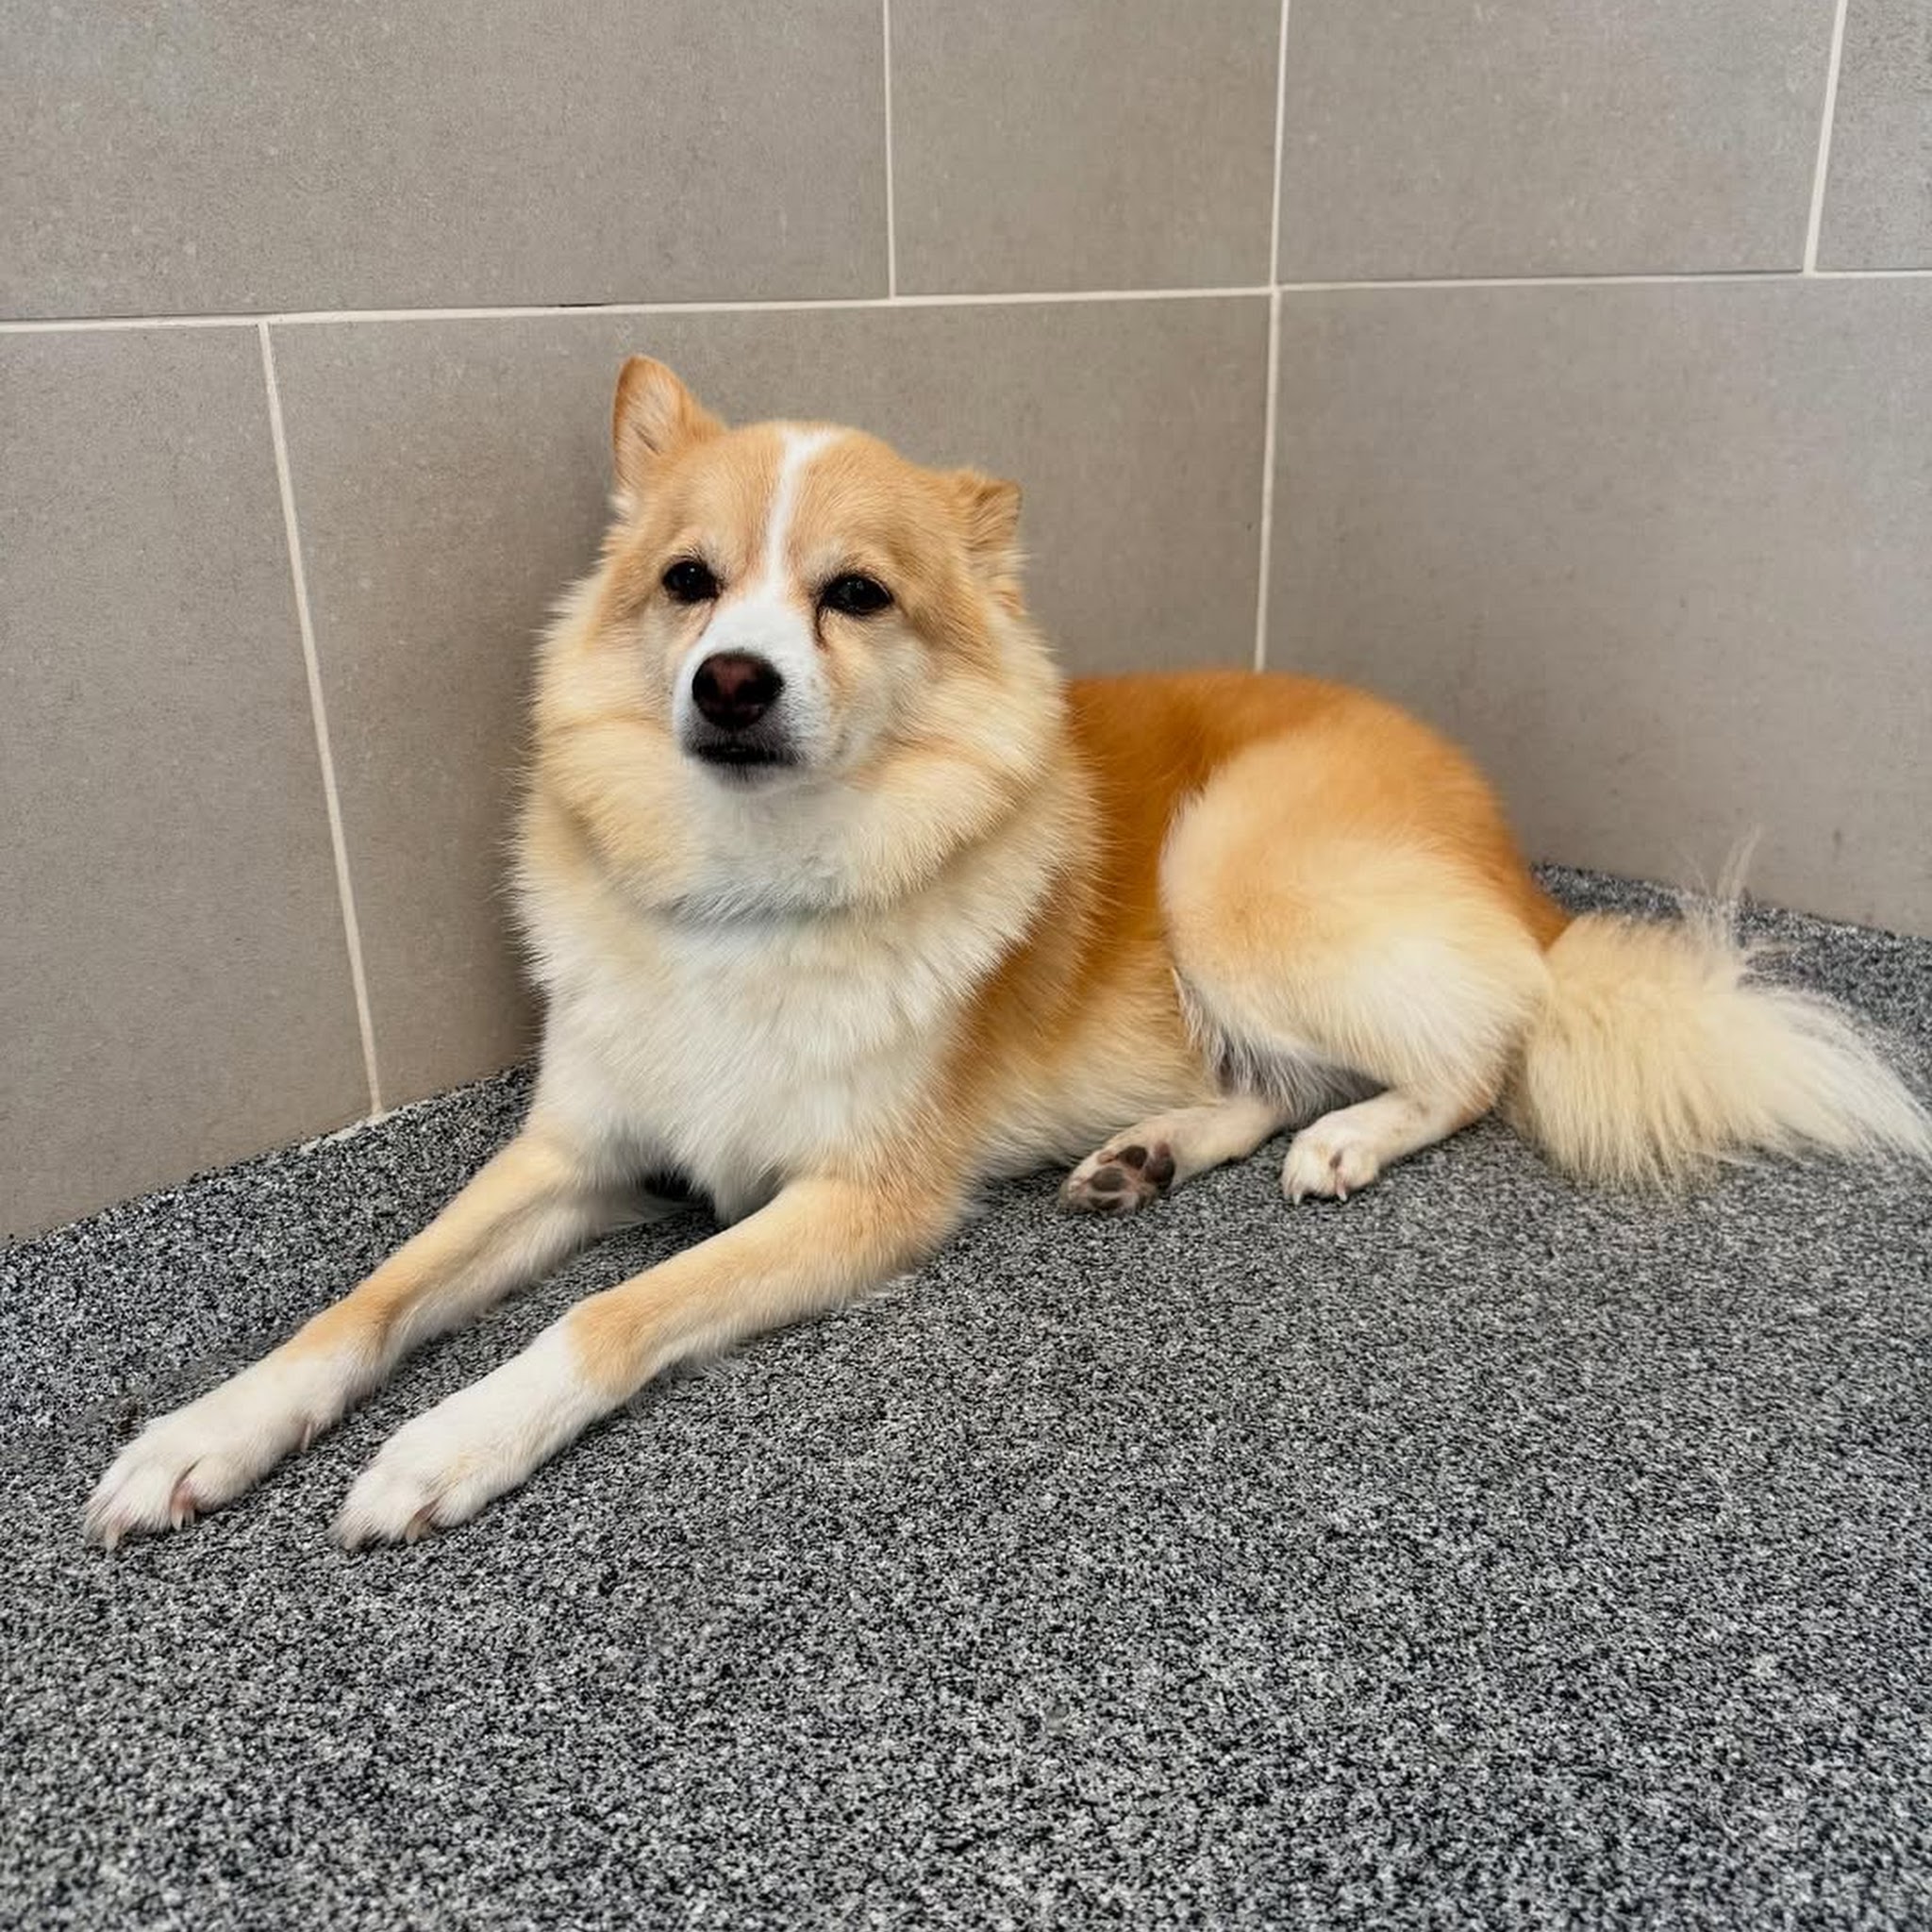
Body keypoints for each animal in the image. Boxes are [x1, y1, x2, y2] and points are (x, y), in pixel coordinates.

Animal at [86, 358, 1932, 1549]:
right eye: (689, 583)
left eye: (854, 595)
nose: (731, 681)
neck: (754, 891)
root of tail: (1503, 845)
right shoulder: (573, 1153)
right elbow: (369, 1298)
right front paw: (203, 1433)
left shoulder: (854, 1201)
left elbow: (603, 1319)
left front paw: (451, 1440)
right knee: (1273, 1078)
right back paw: (1146, 1151)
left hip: (1225, 869)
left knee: (1476, 1051)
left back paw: (1351, 1137)